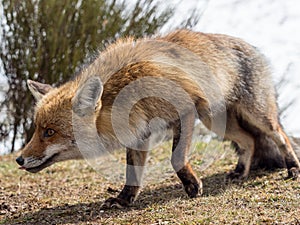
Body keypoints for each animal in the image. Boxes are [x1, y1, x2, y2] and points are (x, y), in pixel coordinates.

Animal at [16, 29, 300, 207]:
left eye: (49, 132)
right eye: (37, 129)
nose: (19, 159)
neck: (123, 91)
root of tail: (250, 45)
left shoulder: (185, 111)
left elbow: (176, 158)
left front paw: (192, 187)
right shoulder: (137, 133)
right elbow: (132, 174)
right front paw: (123, 200)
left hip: (257, 116)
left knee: (280, 136)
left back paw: (292, 167)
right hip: (216, 122)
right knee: (249, 141)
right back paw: (240, 173)